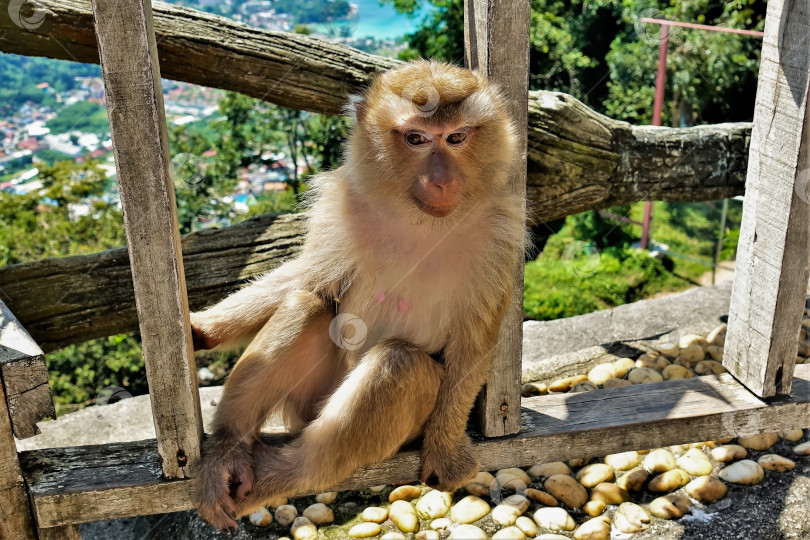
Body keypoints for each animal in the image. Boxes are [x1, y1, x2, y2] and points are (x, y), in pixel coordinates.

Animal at [188, 60, 524, 532]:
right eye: (417, 138)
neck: (421, 220)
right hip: (309, 402)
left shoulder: (500, 236)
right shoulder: (342, 205)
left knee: (400, 364)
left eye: (457, 137)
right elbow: (310, 279)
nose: (442, 181)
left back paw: (290, 472)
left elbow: (474, 345)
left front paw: (444, 448)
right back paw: (227, 450)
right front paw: (203, 328)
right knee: (308, 304)